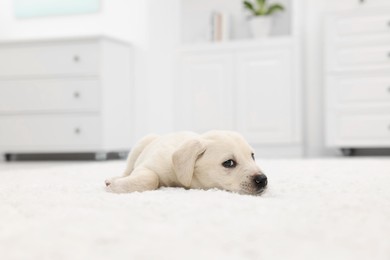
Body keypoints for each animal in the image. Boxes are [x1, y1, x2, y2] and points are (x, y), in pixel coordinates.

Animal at [104, 130, 268, 195]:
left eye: (252, 156)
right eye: (229, 163)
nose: (263, 180)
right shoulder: (148, 165)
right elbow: (151, 178)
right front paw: (115, 186)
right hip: (140, 145)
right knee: (127, 170)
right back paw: (115, 179)